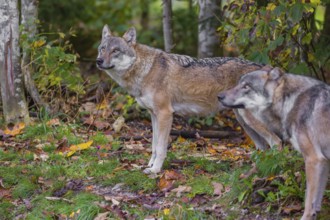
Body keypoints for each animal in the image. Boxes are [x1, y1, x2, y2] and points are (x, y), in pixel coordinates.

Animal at [96, 24, 280, 174]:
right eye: (102, 49)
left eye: (115, 50)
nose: (98, 60)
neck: (144, 70)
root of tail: (266, 68)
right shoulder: (154, 115)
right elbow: (154, 146)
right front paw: (149, 166)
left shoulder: (165, 114)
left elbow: (161, 148)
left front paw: (155, 170)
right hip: (244, 121)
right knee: (263, 147)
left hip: (250, 120)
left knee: (276, 143)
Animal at [219, 67, 330, 220]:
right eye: (238, 84)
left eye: (246, 86)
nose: (219, 96)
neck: (290, 101)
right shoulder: (323, 161)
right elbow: (316, 202)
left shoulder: (313, 159)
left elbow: (309, 201)